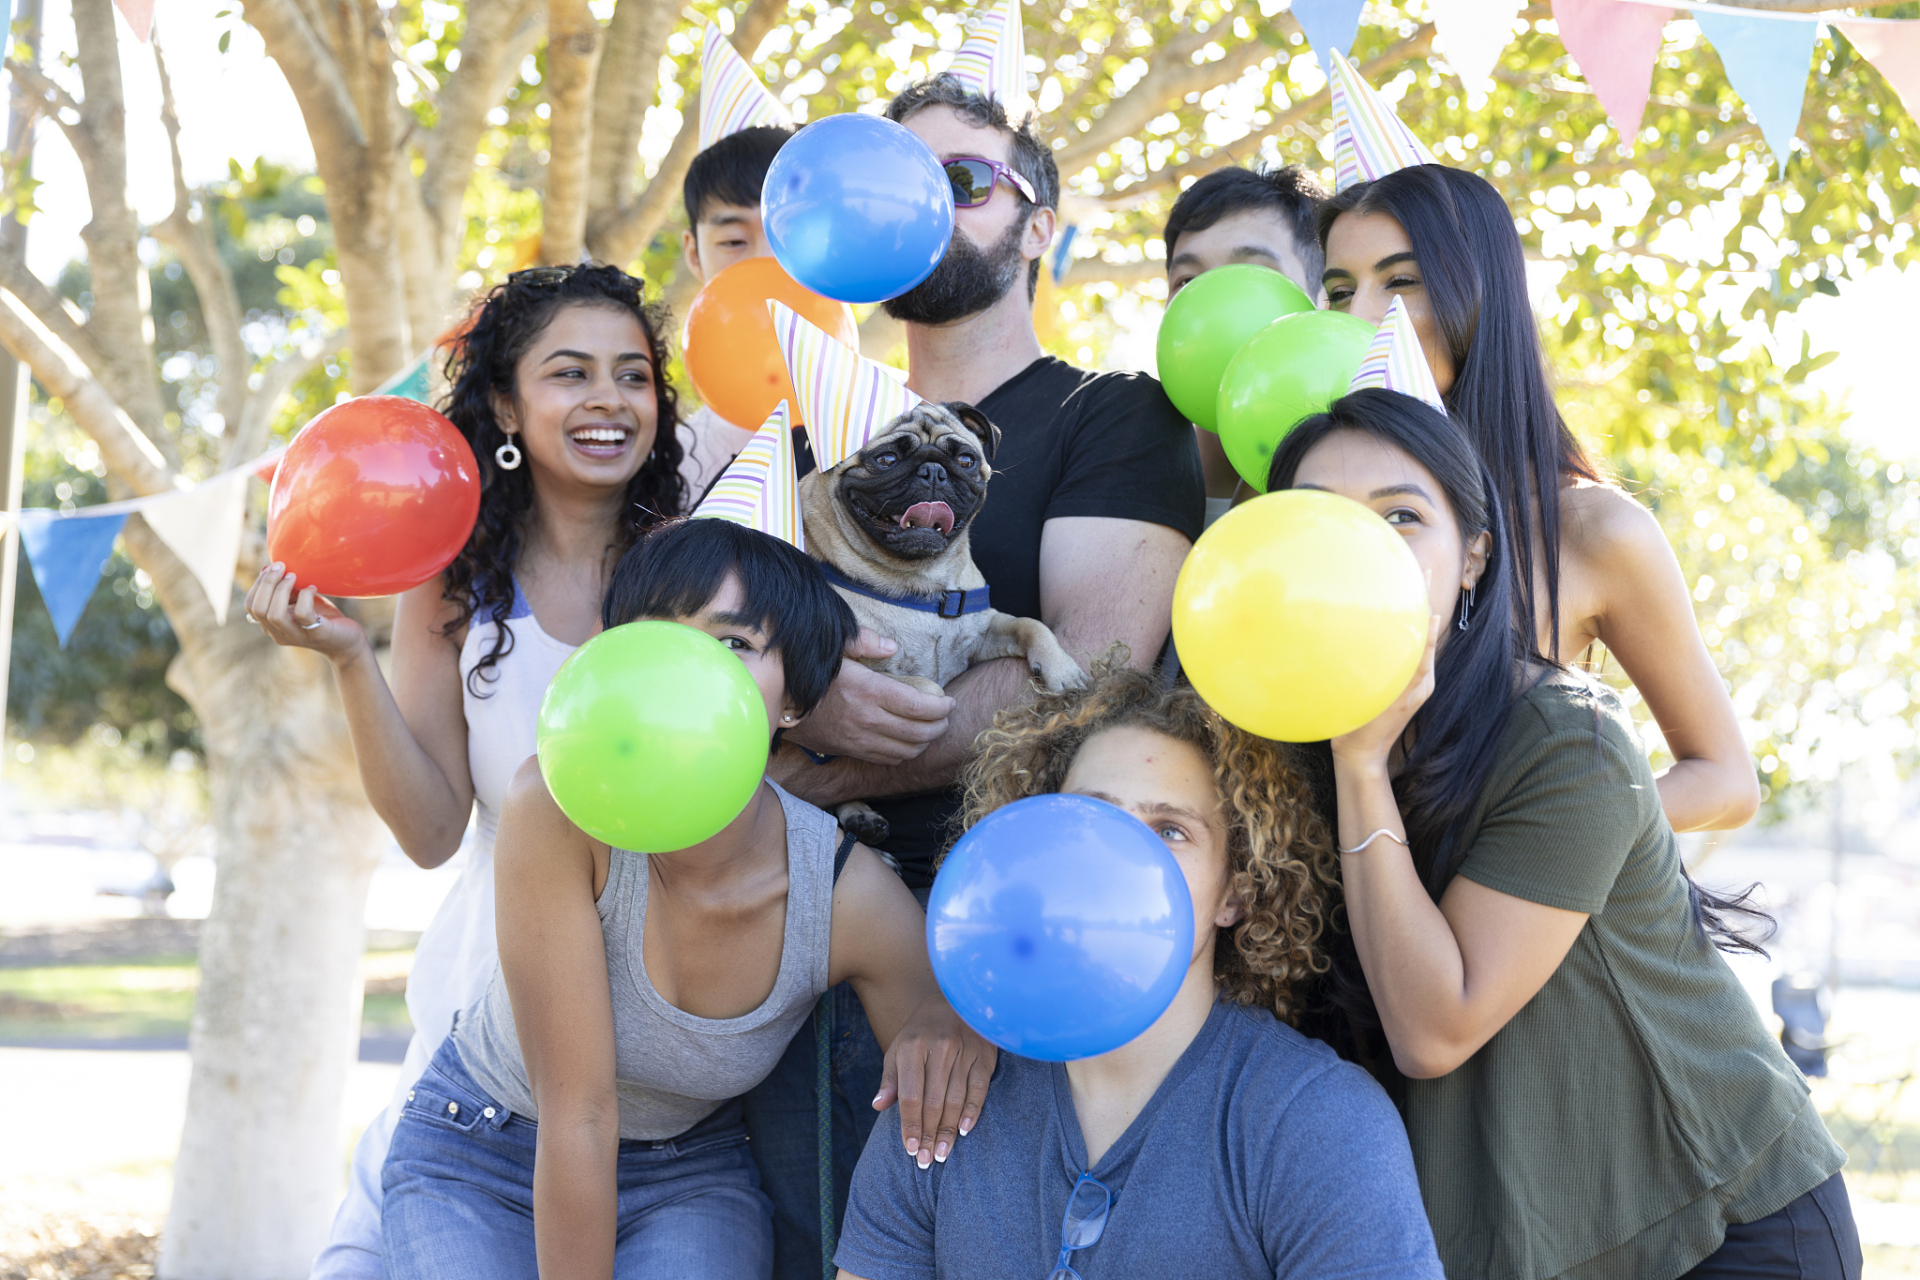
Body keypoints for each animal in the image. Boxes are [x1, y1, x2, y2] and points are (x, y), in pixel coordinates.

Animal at [798, 395, 1090, 844]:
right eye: (885, 459)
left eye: (966, 460)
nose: (934, 471)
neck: (918, 584)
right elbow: (925, 689)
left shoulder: (983, 633)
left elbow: (1031, 624)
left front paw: (1061, 670)